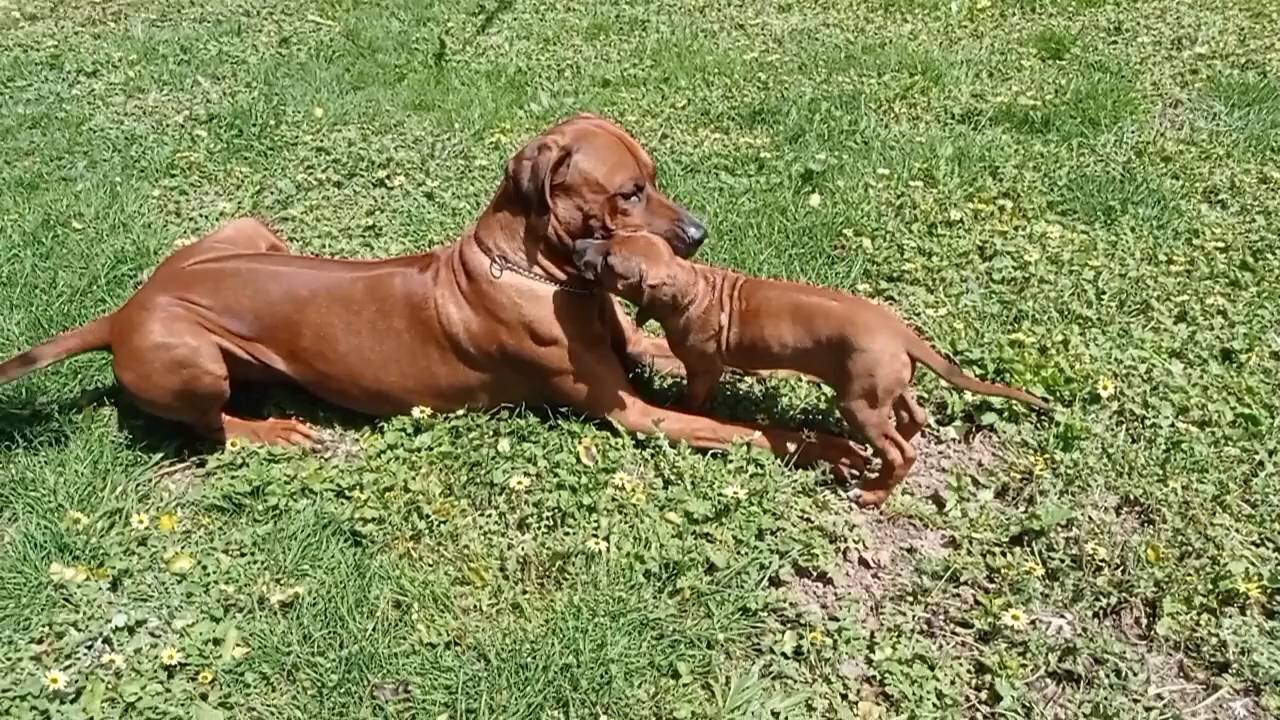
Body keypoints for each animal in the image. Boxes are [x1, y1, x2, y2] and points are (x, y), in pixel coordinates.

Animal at [0, 113, 865, 476]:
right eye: (628, 193)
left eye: (652, 178)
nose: (697, 233)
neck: (535, 272)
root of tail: (126, 309)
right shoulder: (632, 415)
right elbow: (739, 430)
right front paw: (822, 445)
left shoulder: (630, 344)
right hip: (187, 358)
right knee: (211, 430)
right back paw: (274, 431)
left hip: (250, 228)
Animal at [573, 230, 1049, 504]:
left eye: (610, 262)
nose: (577, 246)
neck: (694, 286)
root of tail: (901, 332)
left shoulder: (704, 369)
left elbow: (693, 400)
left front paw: (683, 410)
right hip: (882, 388)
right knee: (913, 417)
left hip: (859, 404)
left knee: (901, 451)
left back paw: (872, 494)